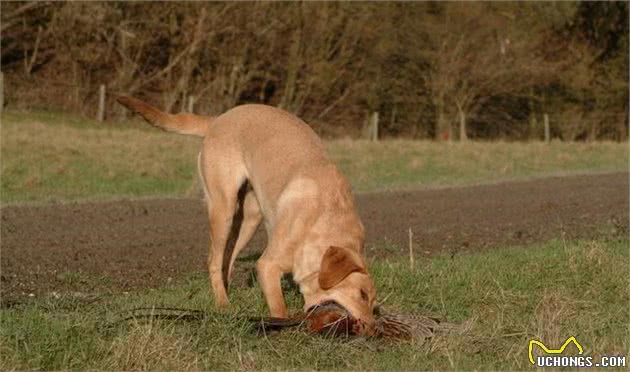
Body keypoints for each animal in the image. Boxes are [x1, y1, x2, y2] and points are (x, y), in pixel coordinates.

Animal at [117, 96, 376, 334]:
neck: (326, 219)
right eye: (362, 294)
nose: (373, 331)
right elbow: (279, 308)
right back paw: (223, 303)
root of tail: (219, 119)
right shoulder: (268, 265)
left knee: (227, 259)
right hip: (223, 207)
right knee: (214, 260)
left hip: (249, 219)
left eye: (374, 305)